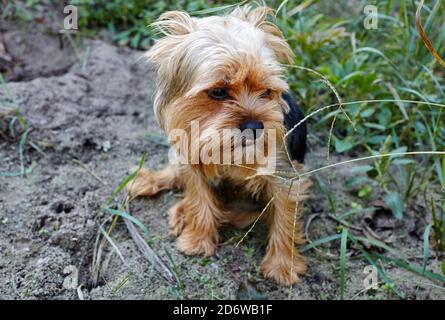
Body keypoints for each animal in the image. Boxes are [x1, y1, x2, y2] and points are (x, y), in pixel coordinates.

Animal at [126, 5, 310, 284]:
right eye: (218, 92)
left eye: (266, 91)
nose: (256, 126)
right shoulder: (191, 155)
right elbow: (198, 198)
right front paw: (197, 240)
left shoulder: (285, 175)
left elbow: (284, 219)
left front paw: (282, 266)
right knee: (175, 172)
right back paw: (154, 185)